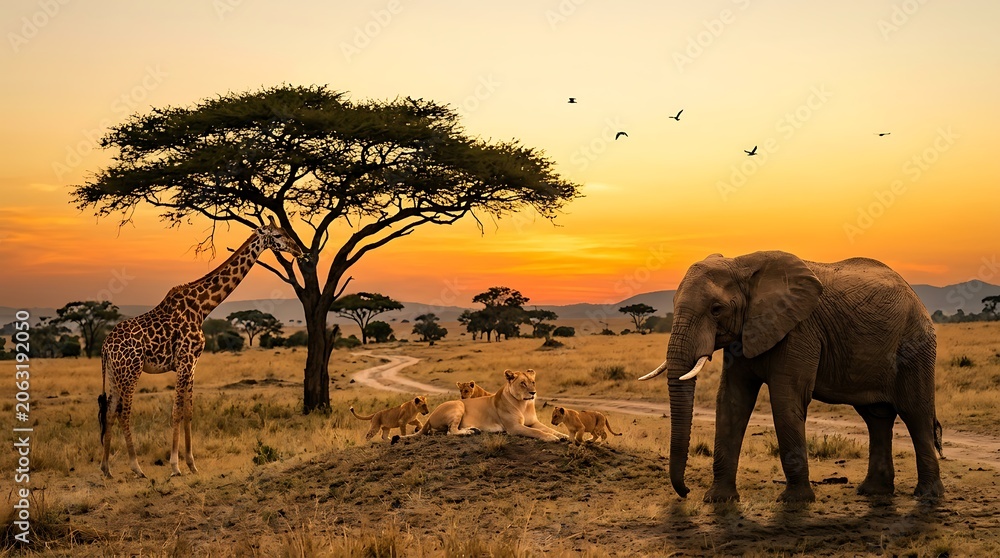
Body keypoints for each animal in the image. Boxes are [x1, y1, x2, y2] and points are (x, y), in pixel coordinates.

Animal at [99, 217, 304, 478]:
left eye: (286, 231)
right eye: (277, 235)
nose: (299, 250)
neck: (203, 307)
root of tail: (105, 346)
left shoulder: (193, 363)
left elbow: (189, 411)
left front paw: (191, 464)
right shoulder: (185, 360)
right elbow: (176, 410)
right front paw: (175, 466)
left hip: (115, 373)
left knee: (109, 411)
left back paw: (106, 468)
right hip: (131, 370)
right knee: (123, 412)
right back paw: (137, 467)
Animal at [413, 369, 567, 442]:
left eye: (533, 382)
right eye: (523, 383)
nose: (533, 393)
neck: (524, 404)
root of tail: (431, 415)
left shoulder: (534, 422)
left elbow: (548, 428)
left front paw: (563, 435)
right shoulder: (514, 427)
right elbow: (536, 432)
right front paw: (551, 438)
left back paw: (473, 429)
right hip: (458, 404)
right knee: (451, 431)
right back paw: (469, 432)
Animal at [640, 251, 944, 503]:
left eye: (716, 309)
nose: (686, 491)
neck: (742, 264)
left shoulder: (800, 329)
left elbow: (786, 399)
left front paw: (795, 501)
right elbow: (731, 401)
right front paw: (717, 499)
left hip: (915, 346)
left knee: (916, 415)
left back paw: (927, 495)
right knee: (876, 417)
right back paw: (873, 492)